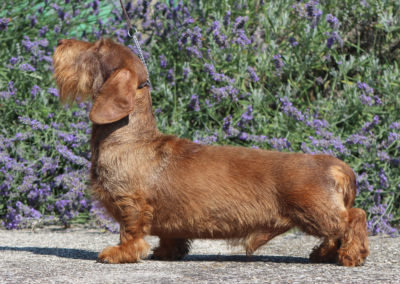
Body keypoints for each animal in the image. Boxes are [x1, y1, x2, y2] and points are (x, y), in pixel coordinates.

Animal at [52, 37, 368, 266]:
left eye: (97, 47)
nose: (59, 42)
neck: (131, 137)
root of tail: (338, 166)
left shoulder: (129, 203)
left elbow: (129, 232)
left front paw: (119, 253)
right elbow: (170, 236)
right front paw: (167, 252)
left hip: (315, 212)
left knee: (355, 217)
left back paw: (352, 255)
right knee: (337, 232)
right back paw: (324, 253)